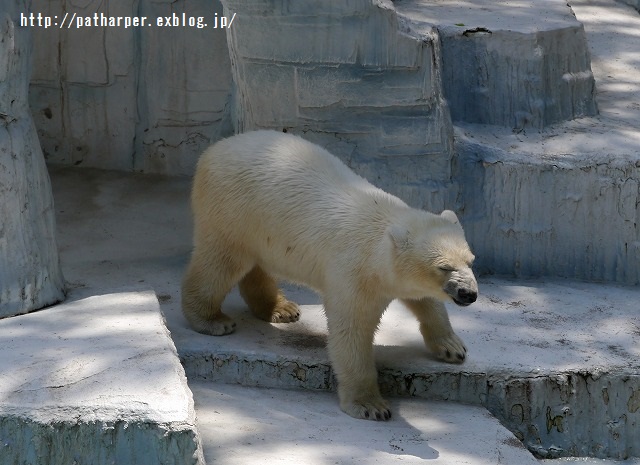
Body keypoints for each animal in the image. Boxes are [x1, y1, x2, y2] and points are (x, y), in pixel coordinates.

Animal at [182, 130, 478, 420]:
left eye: (470, 261)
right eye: (444, 267)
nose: (469, 294)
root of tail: (215, 149)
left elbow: (424, 300)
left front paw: (452, 346)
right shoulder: (354, 274)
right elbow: (352, 331)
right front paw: (370, 405)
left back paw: (281, 309)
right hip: (233, 211)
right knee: (219, 263)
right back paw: (212, 320)